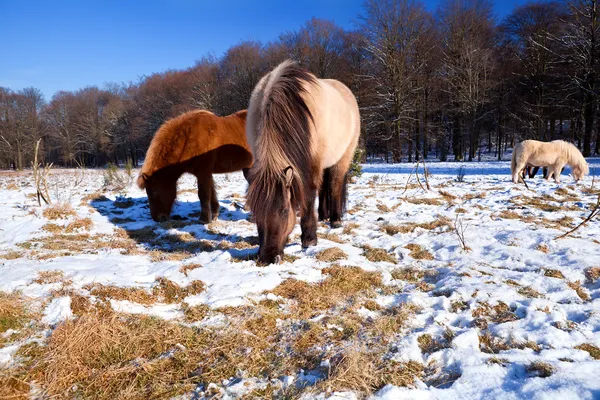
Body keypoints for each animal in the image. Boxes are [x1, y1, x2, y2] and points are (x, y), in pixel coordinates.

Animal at [245, 60, 360, 266]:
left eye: (284, 211)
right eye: (256, 211)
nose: (267, 258)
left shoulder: (311, 166)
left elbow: (308, 195)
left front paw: (309, 238)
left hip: (342, 158)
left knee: (334, 184)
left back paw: (335, 219)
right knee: (324, 187)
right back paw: (323, 215)